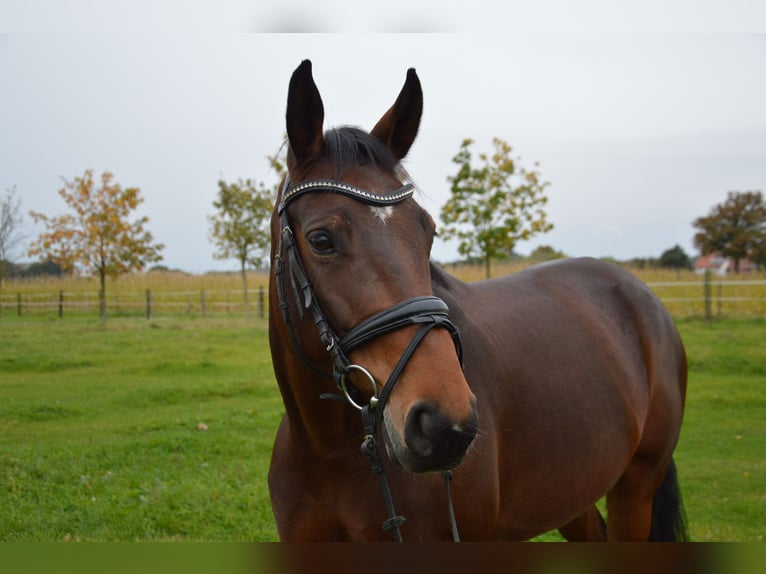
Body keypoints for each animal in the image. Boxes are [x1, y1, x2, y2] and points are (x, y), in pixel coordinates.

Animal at [270, 60, 688, 544]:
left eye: (428, 231)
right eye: (321, 240)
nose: (443, 424)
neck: (327, 450)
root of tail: (639, 293)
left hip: (636, 488)